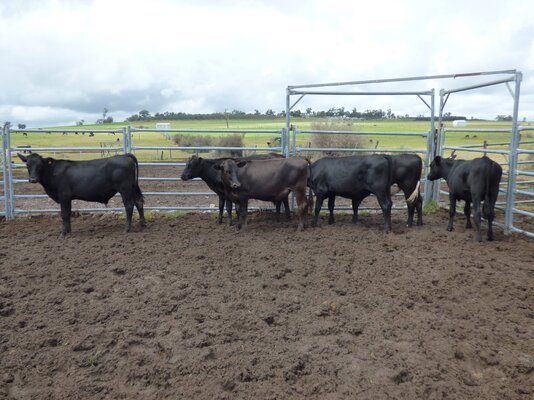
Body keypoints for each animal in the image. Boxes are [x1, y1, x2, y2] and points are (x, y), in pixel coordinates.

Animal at [18, 152, 147, 234]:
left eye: (40, 165)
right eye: (27, 165)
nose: (33, 179)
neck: (53, 172)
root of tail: (124, 155)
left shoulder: (64, 196)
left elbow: (64, 214)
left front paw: (63, 233)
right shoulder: (67, 198)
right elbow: (68, 213)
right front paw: (68, 231)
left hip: (125, 188)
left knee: (129, 206)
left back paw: (127, 229)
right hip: (133, 187)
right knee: (139, 202)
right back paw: (143, 224)